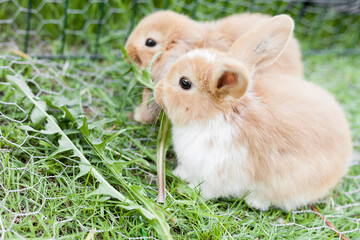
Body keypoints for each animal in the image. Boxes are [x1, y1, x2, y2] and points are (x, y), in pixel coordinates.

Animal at [154, 14, 352, 210]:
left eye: (184, 83)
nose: (157, 91)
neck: (222, 115)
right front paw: (179, 173)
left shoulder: (220, 174)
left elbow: (207, 190)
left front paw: (189, 191)